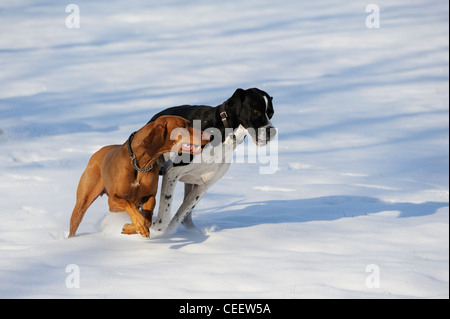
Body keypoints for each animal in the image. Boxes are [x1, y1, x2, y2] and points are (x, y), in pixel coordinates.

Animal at [67, 116, 208, 239]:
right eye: (183, 126)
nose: (209, 136)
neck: (140, 163)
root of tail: (97, 152)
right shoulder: (112, 201)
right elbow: (129, 204)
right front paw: (139, 225)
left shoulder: (149, 196)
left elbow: (148, 221)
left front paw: (131, 228)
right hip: (82, 203)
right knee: (75, 222)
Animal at [149, 89, 274, 234]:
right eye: (255, 111)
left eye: (271, 113)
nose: (271, 131)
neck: (223, 132)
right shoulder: (172, 172)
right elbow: (164, 217)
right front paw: (154, 231)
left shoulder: (203, 187)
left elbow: (178, 217)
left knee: (186, 218)